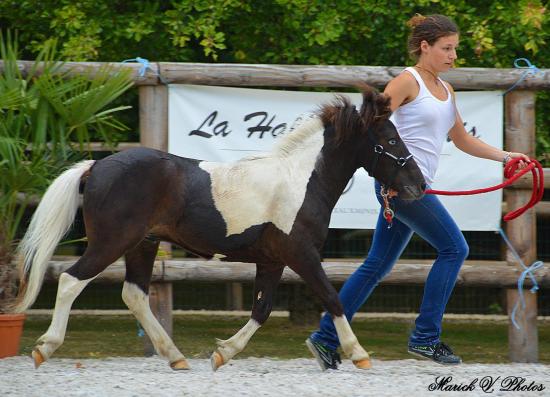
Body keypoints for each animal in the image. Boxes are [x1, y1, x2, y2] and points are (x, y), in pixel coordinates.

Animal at [11, 85, 426, 370]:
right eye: (391, 140)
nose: (419, 186)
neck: (299, 180)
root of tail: (96, 166)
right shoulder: (301, 253)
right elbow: (332, 298)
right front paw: (359, 354)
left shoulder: (273, 260)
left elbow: (261, 309)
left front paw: (222, 353)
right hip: (112, 242)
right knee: (71, 280)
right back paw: (43, 348)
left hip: (142, 245)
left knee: (135, 295)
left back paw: (176, 357)